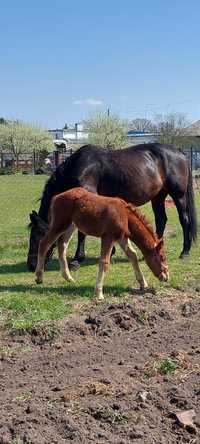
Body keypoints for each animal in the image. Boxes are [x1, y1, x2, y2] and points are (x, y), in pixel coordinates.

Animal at [27, 144, 197, 272]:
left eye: (38, 236)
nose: (31, 265)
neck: (80, 167)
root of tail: (180, 153)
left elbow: (82, 232)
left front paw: (76, 260)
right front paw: (111, 252)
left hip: (178, 196)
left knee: (184, 220)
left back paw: (185, 252)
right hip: (158, 197)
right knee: (161, 220)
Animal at [34, 189, 169, 300]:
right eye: (162, 257)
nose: (166, 277)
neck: (125, 216)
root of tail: (56, 197)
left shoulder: (122, 237)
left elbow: (133, 255)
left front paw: (143, 283)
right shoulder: (108, 237)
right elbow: (104, 261)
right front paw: (99, 293)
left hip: (71, 225)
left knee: (62, 245)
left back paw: (68, 277)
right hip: (59, 224)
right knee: (44, 243)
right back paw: (39, 277)